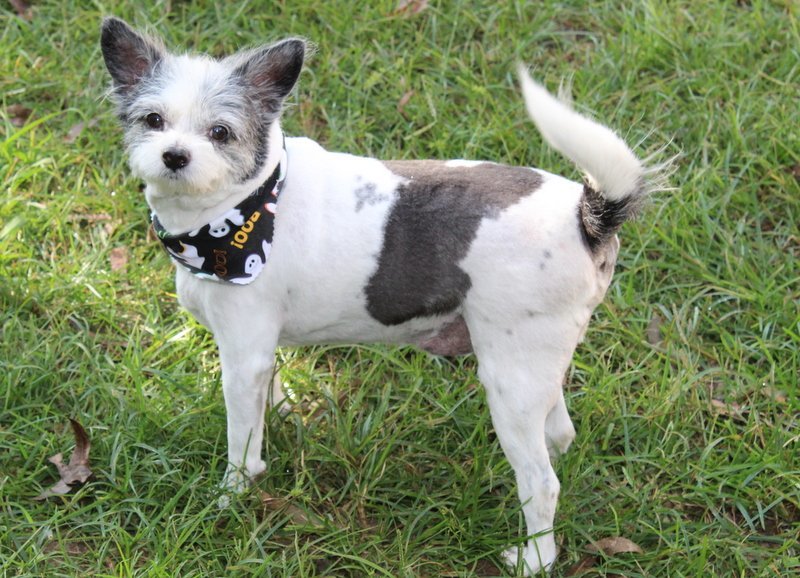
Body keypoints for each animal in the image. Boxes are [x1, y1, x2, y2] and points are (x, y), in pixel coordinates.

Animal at [100, 17, 663, 574]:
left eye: (220, 133)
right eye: (153, 120)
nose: (175, 155)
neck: (244, 204)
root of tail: (587, 215)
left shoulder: (242, 358)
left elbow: (242, 444)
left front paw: (230, 498)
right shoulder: (258, 354)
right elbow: (269, 397)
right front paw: (282, 419)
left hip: (509, 382)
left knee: (542, 482)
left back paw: (535, 559)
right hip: (534, 367)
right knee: (560, 433)